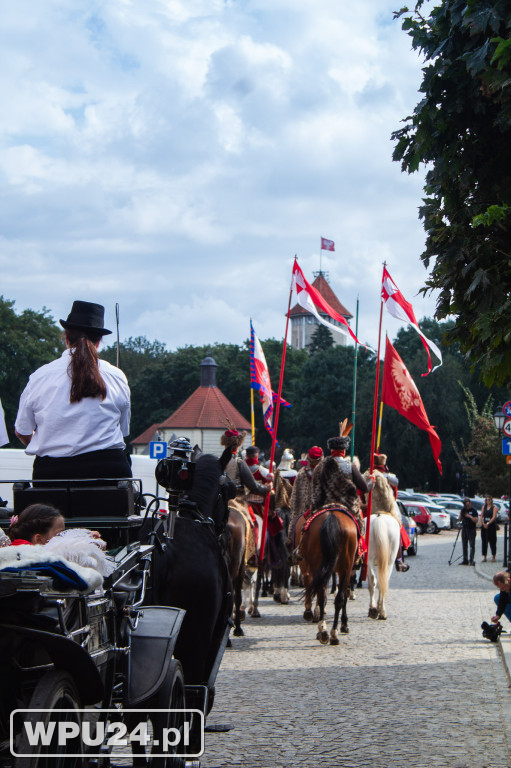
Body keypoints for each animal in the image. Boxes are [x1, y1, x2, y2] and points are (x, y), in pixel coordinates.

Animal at [298, 508, 358, 644]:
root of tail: (332, 518)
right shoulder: (346, 571)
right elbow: (343, 596)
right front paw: (344, 624)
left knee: (322, 596)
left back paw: (324, 631)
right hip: (343, 568)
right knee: (335, 598)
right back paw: (331, 633)